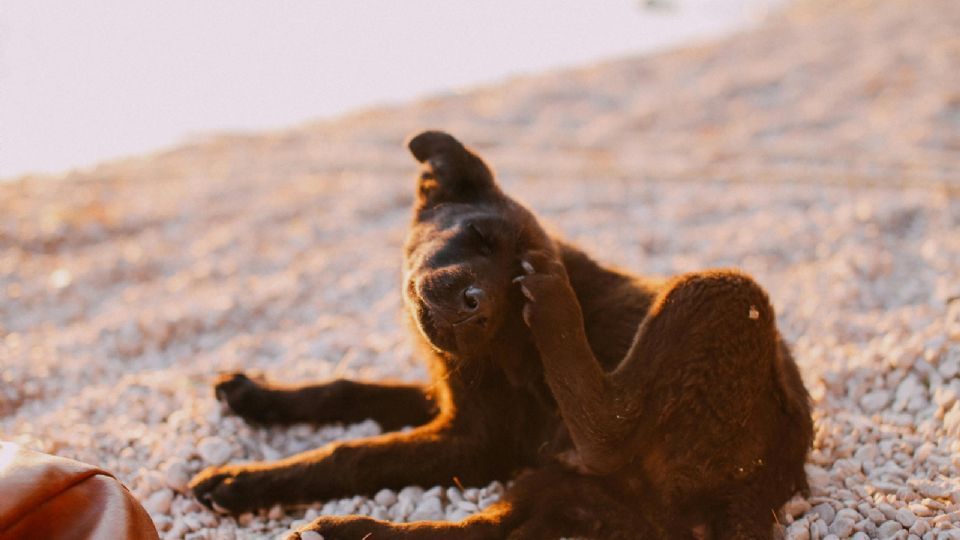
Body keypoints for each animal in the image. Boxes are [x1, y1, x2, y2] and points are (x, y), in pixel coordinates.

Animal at [188, 132, 808, 540]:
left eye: (512, 287)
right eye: (479, 237)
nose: (475, 308)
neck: (502, 343)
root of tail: (765, 485)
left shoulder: (477, 440)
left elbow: (355, 453)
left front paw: (244, 475)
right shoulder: (453, 401)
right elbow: (350, 390)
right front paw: (254, 399)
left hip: (723, 295)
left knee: (608, 428)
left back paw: (557, 311)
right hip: (573, 492)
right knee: (485, 531)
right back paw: (347, 529)